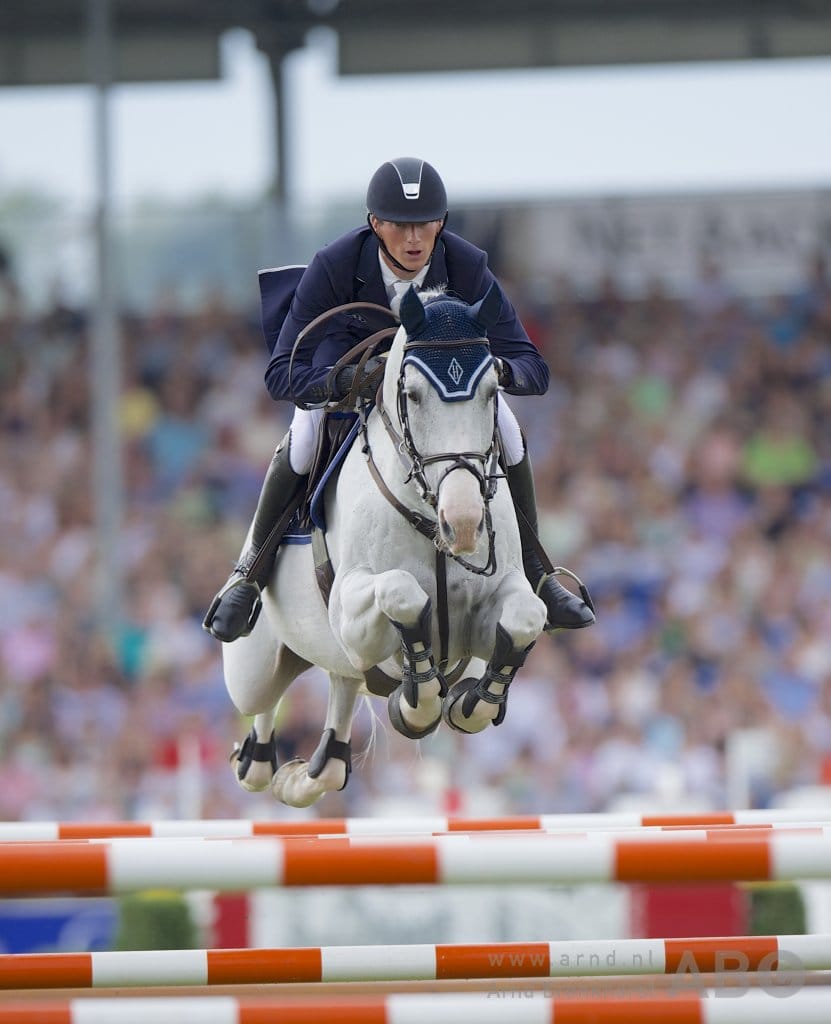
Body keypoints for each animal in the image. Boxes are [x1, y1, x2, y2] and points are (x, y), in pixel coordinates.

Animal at [221, 282, 548, 808]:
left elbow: (524, 618)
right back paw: (260, 758)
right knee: (264, 701)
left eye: (492, 392)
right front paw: (417, 706)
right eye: (411, 394)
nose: (463, 524)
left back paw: (310, 772)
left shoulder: (491, 610)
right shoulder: (351, 608)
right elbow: (402, 592)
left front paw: (470, 702)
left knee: (342, 687)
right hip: (253, 666)